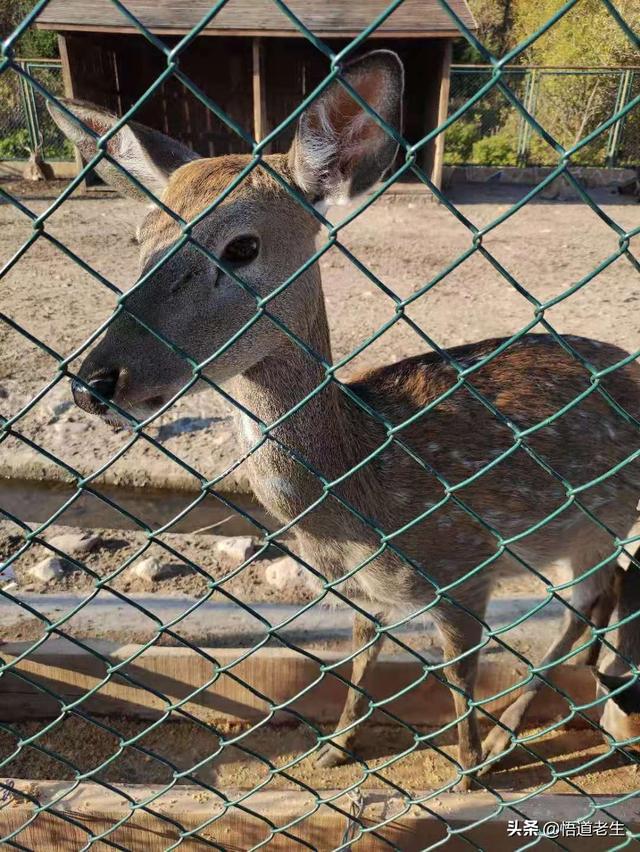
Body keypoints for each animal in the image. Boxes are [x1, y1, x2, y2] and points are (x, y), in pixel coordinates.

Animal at [48, 50, 640, 788]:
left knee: (590, 599)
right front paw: (336, 745)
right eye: (137, 240)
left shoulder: (462, 566)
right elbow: (359, 654)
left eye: (241, 247)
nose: (93, 382)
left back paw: (509, 736)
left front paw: (467, 770)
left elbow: (458, 675)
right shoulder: (360, 590)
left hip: (598, 520)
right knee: (603, 595)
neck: (357, 486)